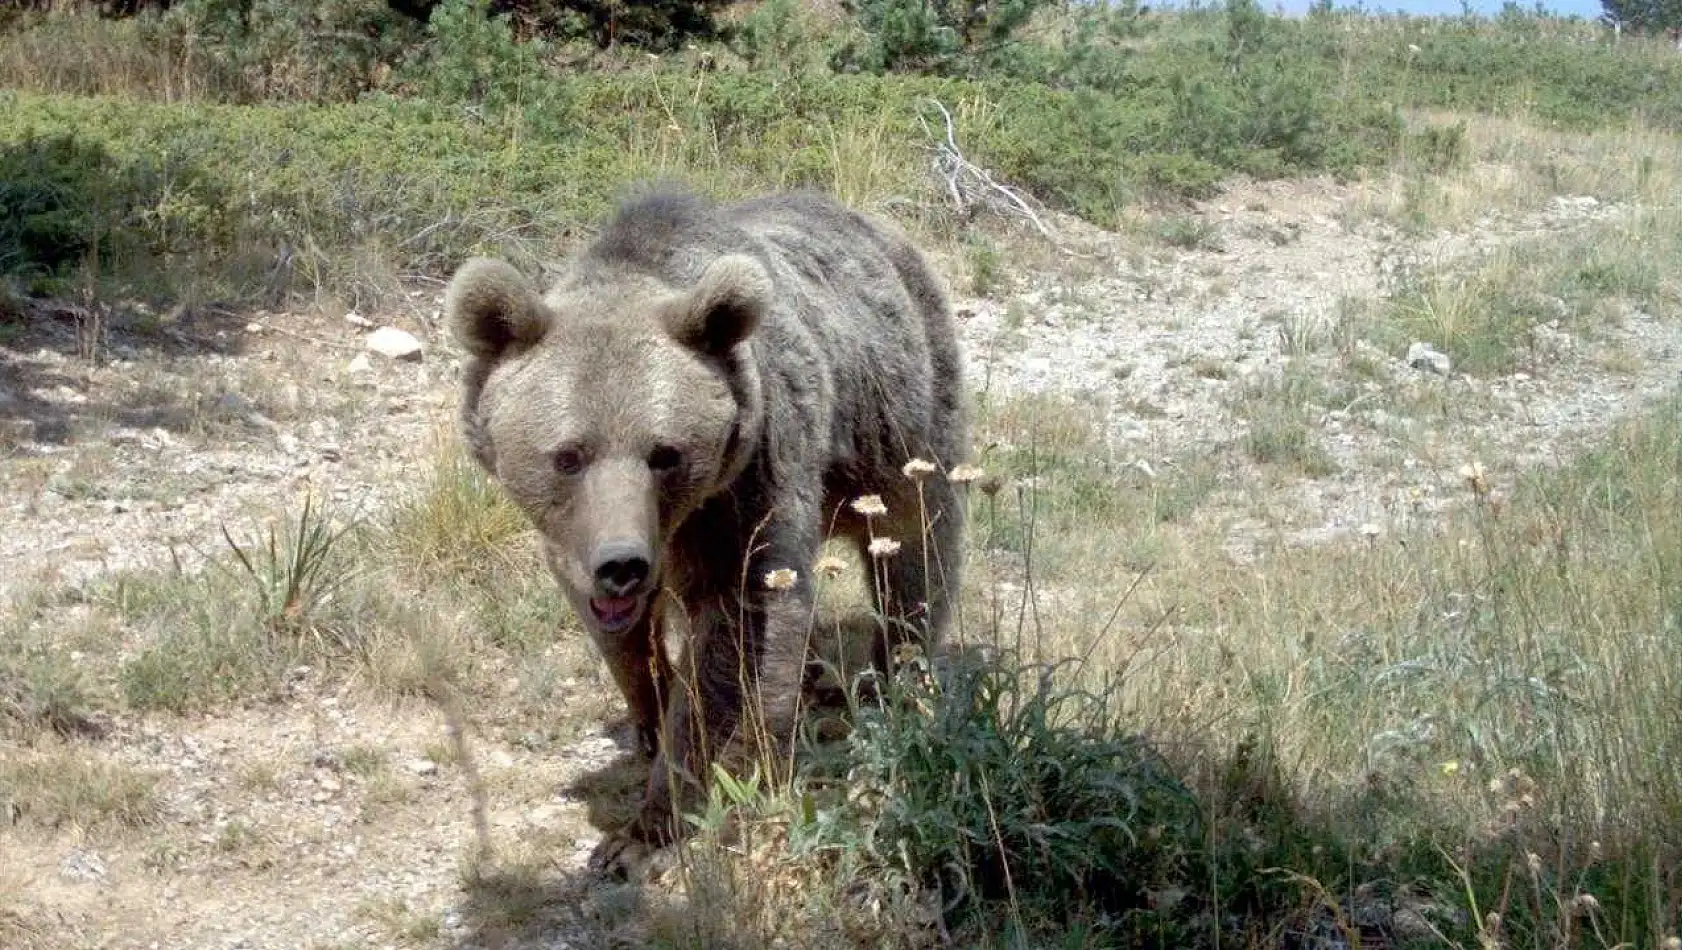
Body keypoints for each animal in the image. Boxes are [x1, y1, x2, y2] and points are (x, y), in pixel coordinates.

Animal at [447, 187, 968, 874]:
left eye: (664, 452)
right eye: (568, 455)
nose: (622, 564)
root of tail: (878, 227)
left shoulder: (747, 485)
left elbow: (739, 637)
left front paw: (649, 829)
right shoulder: (575, 541)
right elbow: (618, 637)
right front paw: (648, 716)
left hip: (900, 414)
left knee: (917, 548)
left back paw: (895, 680)